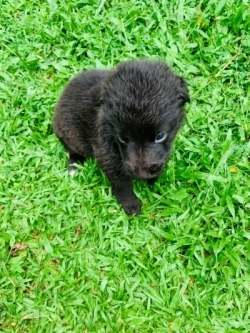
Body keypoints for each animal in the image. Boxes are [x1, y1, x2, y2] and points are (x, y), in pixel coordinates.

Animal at [53, 60, 189, 215]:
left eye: (160, 136)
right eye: (122, 138)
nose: (141, 175)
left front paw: (154, 178)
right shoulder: (106, 153)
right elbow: (120, 181)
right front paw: (130, 204)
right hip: (69, 133)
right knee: (72, 150)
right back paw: (74, 166)